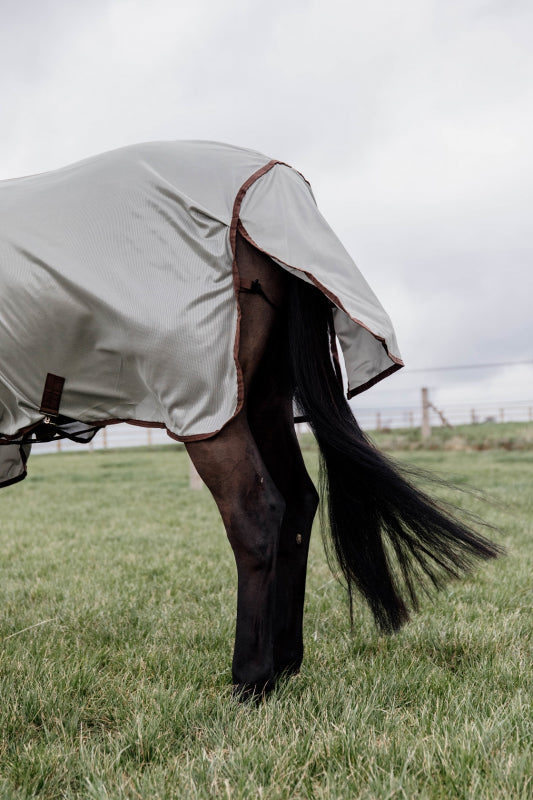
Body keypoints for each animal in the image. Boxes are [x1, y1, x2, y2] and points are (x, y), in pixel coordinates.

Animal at [0, 139, 500, 700]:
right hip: (263, 400)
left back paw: (251, 680)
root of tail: (271, 185)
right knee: (299, 505)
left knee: (255, 514)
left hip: (209, 406)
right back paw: (284, 664)